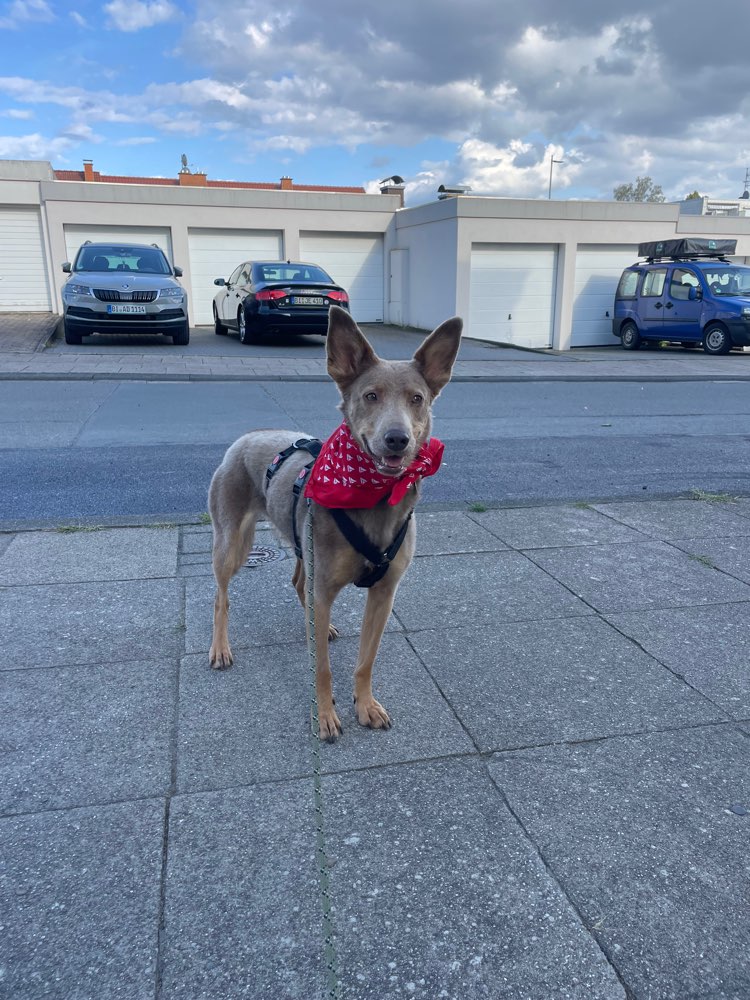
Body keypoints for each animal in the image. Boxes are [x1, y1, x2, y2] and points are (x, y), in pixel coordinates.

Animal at [207, 306, 464, 744]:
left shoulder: (383, 593)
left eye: (417, 399)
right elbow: (322, 668)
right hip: (232, 544)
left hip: (300, 541)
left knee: (298, 582)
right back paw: (221, 648)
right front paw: (325, 716)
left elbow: (365, 660)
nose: (397, 439)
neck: (374, 495)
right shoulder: (325, 588)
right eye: (370, 396)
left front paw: (365, 705)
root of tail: (247, 437)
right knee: (222, 596)